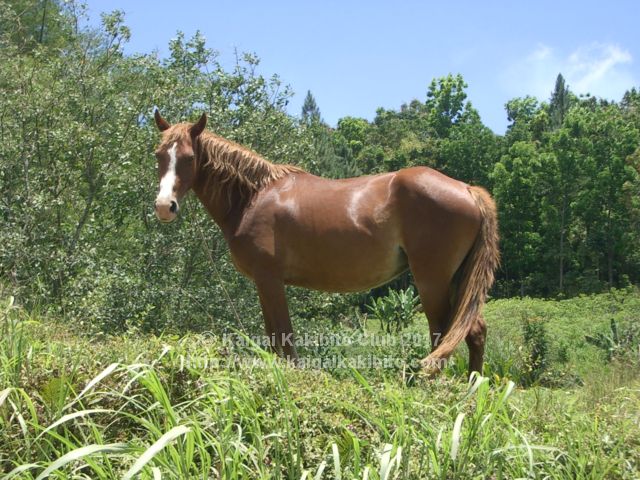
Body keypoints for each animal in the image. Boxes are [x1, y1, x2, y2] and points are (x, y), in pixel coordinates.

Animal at [151, 109, 500, 376]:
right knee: (473, 332)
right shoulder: (265, 284)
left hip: (432, 280)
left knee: (442, 335)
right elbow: (275, 341)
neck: (253, 197)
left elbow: (284, 340)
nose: (165, 206)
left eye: (189, 157)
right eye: (159, 155)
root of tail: (467, 189)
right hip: (456, 280)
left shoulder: (269, 280)